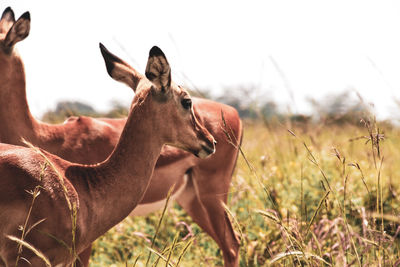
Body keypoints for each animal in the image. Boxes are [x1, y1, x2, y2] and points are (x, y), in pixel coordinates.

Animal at [0, 7, 242, 266]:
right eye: (187, 101)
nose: (209, 141)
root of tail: (233, 113)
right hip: (195, 199)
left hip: (208, 196)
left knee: (232, 243)